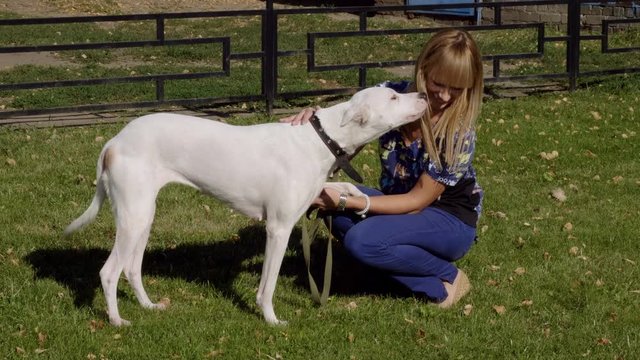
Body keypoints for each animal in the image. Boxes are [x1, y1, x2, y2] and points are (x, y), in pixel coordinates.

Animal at [65, 87, 428, 326]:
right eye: (393, 98)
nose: (424, 95)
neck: (321, 138)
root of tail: (114, 142)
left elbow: (345, 188)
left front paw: (356, 200)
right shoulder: (278, 229)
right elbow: (267, 285)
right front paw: (270, 319)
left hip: (142, 217)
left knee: (131, 269)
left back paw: (148, 306)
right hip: (134, 219)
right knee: (109, 272)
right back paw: (116, 321)